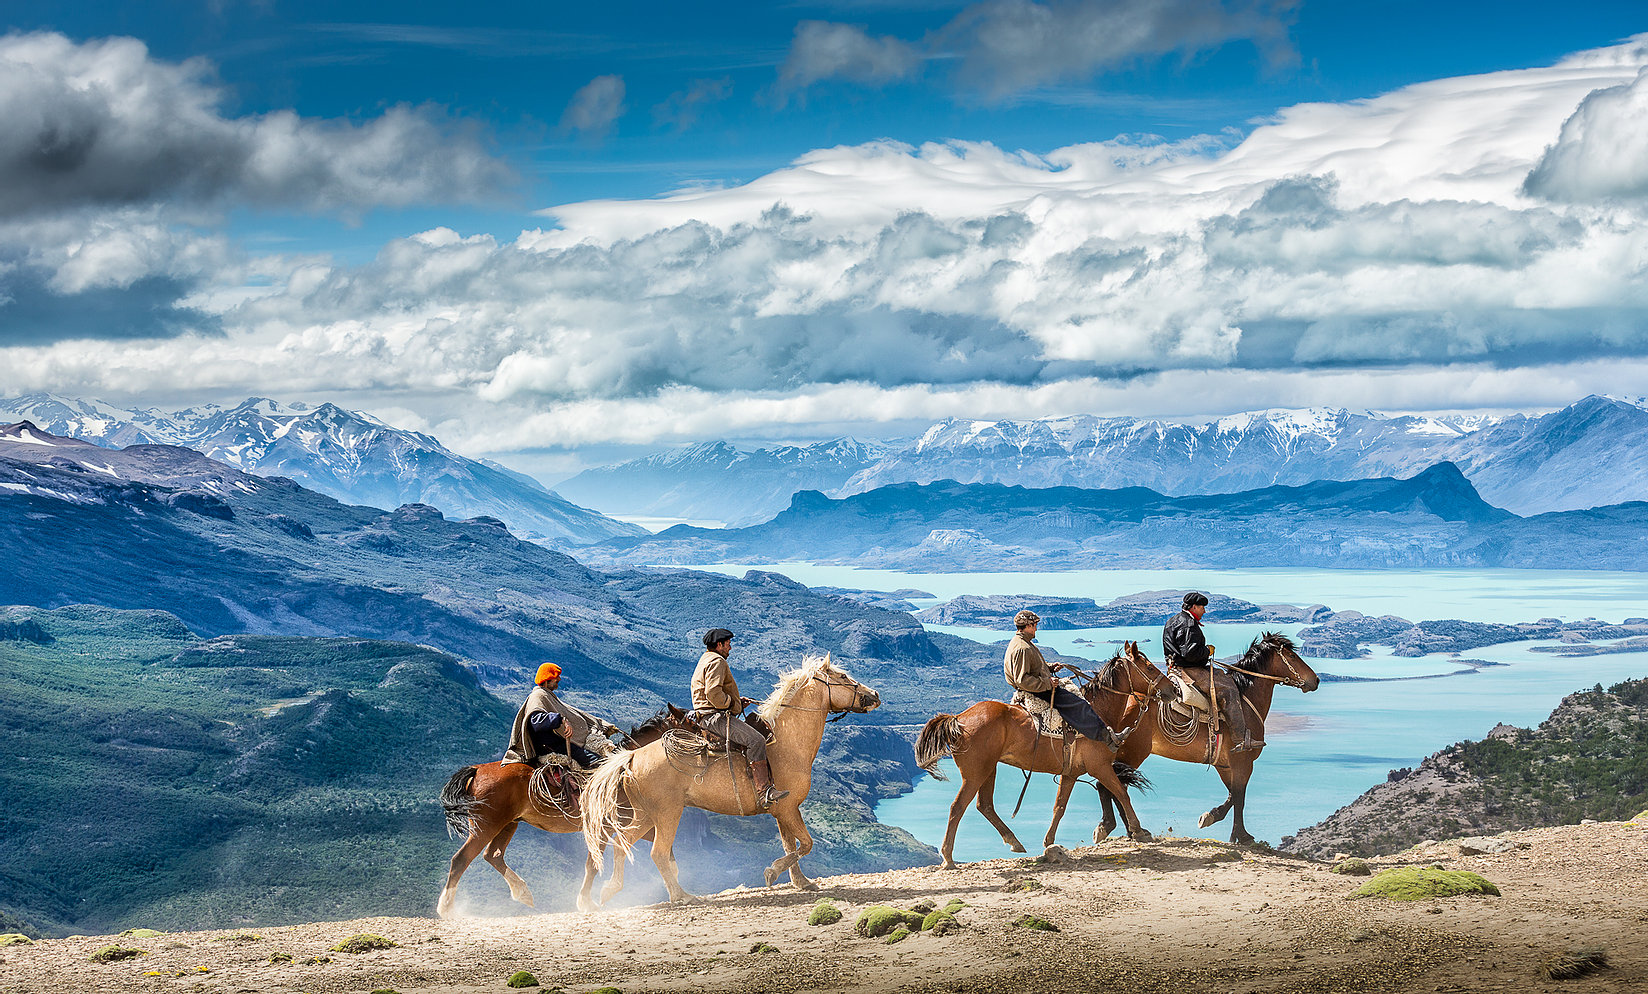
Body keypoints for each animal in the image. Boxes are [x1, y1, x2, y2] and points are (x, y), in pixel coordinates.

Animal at [435, 708, 678, 916]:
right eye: (687, 722)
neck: (621, 771)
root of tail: (478, 770)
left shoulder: (631, 823)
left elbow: (663, 847)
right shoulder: (605, 827)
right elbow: (593, 864)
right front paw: (587, 902)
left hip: (508, 824)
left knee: (492, 855)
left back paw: (522, 893)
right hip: (486, 826)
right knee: (461, 859)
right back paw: (446, 908)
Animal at [586, 656, 883, 903]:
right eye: (842, 676)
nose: (875, 695)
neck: (785, 743)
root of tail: (632, 758)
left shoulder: (782, 810)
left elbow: (791, 844)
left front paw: (801, 882)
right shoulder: (788, 808)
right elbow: (806, 844)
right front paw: (772, 872)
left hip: (646, 815)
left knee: (622, 842)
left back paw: (610, 890)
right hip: (667, 814)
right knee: (657, 853)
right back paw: (682, 896)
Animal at [909, 675, 1153, 870]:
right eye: (1148, 666)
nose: (1163, 690)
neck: (1099, 717)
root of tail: (958, 719)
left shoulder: (1071, 774)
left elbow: (1059, 807)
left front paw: (1049, 841)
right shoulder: (1100, 767)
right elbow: (1122, 793)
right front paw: (1138, 830)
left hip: (988, 769)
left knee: (984, 805)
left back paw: (1014, 841)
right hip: (975, 774)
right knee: (957, 807)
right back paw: (948, 858)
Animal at [1081, 632, 1324, 843]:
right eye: (1292, 656)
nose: (1316, 680)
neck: (1245, 699)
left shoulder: (1224, 764)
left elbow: (1232, 794)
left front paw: (1211, 816)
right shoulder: (1243, 761)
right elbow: (1239, 796)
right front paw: (1241, 835)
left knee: (1111, 785)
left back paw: (1123, 829)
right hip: (1133, 753)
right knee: (1111, 785)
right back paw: (1121, 828)